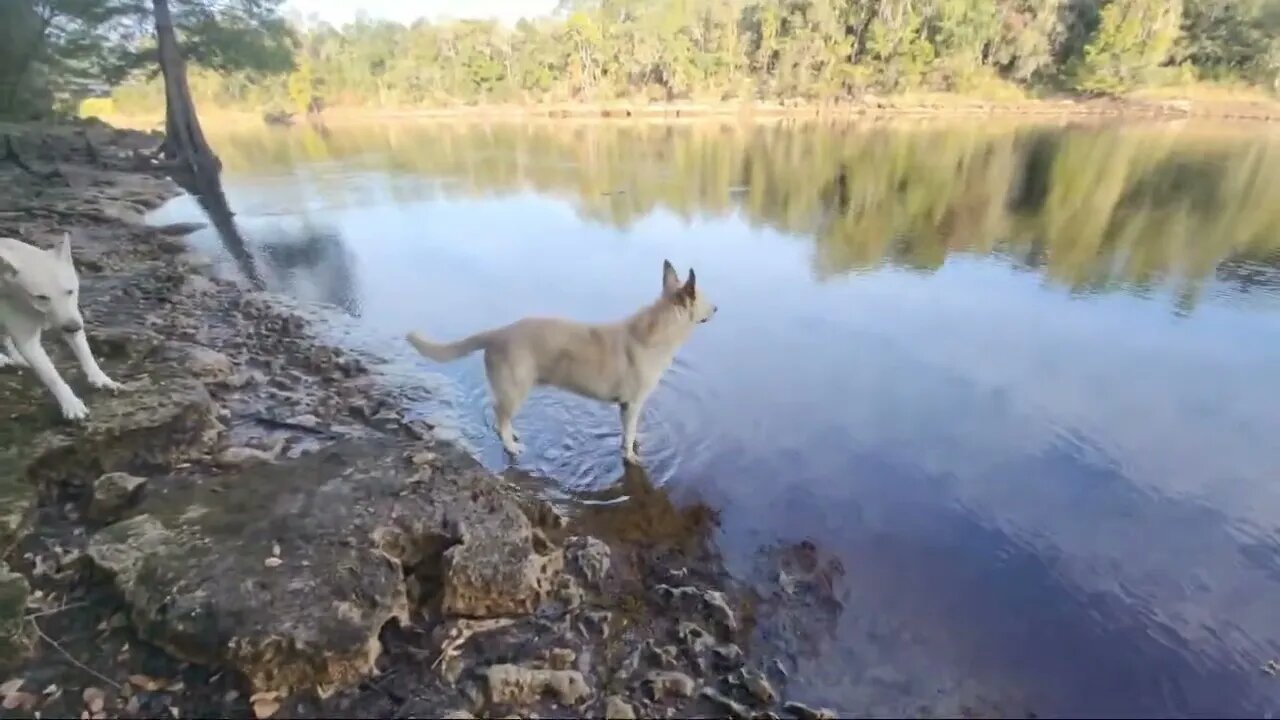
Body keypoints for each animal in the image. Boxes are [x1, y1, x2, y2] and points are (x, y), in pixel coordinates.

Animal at [0, 233, 119, 417]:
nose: (72, 327)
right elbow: (51, 375)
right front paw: (71, 404)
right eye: (41, 297)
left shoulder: (73, 315)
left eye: (69, 291)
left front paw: (101, 378)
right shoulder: (28, 340)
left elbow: (86, 353)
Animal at [407, 260, 716, 461]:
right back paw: (511, 447)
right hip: (515, 389)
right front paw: (630, 455)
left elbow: (629, 432)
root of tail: (498, 333)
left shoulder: (627, 407)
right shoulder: (633, 403)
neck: (660, 328)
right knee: (500, 417)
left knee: (501, 418)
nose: (716, 308)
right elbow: (628, 437)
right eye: (705, 299)